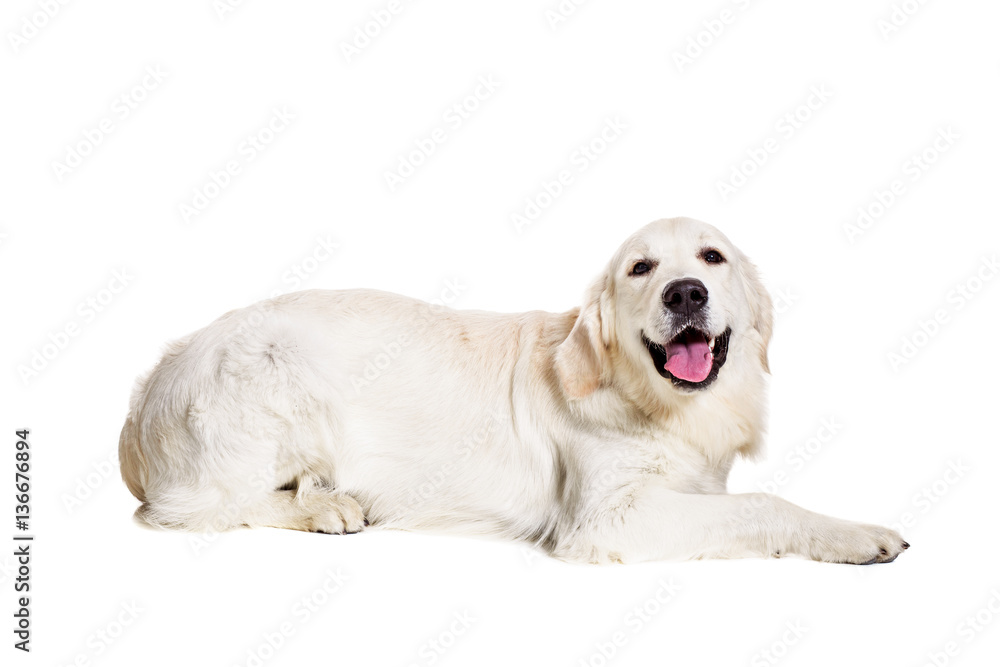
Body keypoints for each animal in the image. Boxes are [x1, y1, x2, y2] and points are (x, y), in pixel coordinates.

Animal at [121, 219, 912, 564]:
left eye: (711, 256)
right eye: (640, 267)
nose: (686, 292)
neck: (649, 395)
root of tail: (152, 377)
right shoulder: (605, 520)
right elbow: (762, 504)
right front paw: (856, 534)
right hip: (272, 370)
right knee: (193, 508)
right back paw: (329, 509)